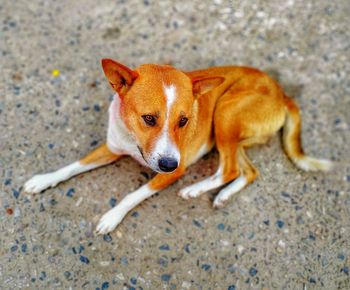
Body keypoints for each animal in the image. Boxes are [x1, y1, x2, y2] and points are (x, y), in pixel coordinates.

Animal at [23, 59, 332, 233]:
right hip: (231, 133)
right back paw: (223, 195)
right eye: (149, 118)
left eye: (184, 120)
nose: (169, 164)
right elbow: (71, 166)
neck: (133, 140)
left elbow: (132, 195)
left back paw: (195, 189)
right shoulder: (110, 148)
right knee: (249, 171)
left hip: (225, 114)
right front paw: (42, 180)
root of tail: (282, 93)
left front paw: (112, 216)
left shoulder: (173, 171)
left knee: (230, 169)